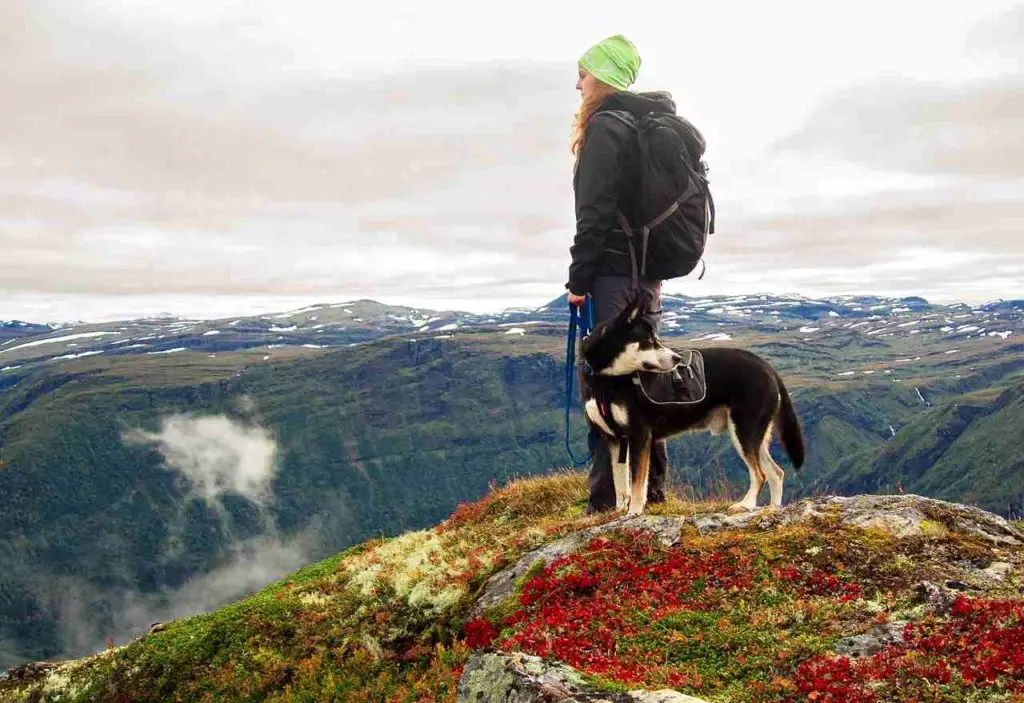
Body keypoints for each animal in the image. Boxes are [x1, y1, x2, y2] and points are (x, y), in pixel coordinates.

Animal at [581, 290, 802, 517]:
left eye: (655, 339)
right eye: (649, 341)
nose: (677, 358)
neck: (607, 380)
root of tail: (767, 367)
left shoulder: (639, 435)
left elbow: (637, 485)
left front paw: (634, 512)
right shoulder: (614, 439)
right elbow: (620, 484)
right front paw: (618, 512)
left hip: (744, 430)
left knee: (760, 474)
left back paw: (746, 504)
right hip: (754, 435)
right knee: (777, 473)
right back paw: (773, 509)